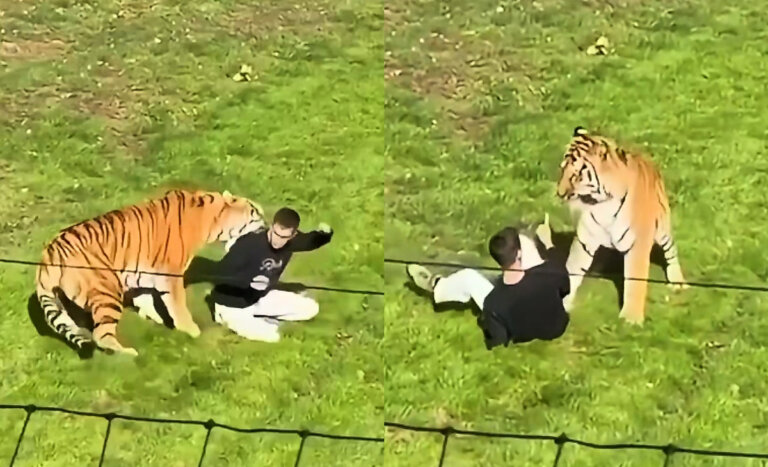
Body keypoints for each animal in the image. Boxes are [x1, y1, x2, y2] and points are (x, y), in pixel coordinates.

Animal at [35, 189, 267, 356]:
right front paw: (192, 331)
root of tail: (49, 252)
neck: (211, 219)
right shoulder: (171, 273)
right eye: (256, 212)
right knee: (101, 333)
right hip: (107, 291)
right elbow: (177, 305)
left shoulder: (142, 273)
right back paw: (128, 353)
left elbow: (147, 299)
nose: (266, 226)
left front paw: (158, 320)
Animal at [555, 126, 688, 325]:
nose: (559, 193)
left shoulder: (638, 244)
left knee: (671, 251)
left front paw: (631, 318)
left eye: (577, 175)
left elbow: (635, 281)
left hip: (663, 230)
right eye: (562, 169)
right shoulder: (585, 239)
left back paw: (677, 282)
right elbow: (573, 269)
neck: (602, 202)